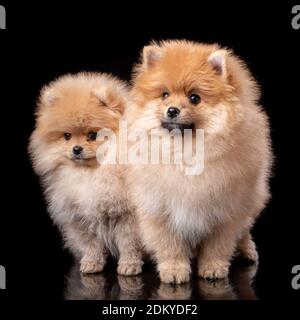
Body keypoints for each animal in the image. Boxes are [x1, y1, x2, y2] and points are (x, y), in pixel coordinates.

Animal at [28, 72, 144, 276]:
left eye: (92, 135)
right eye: (67, 136)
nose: (76, 149)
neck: (90, 174)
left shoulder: (127, 216)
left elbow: (129, 243)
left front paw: (129, 264)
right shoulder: (78, 217)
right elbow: (90, 244)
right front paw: (91, 262)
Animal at [127, 40, 274, 282]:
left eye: (194, 97)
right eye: (165, 95)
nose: (172, 110)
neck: (185, 152)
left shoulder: (225, 210)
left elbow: (218, 245)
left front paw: (213, 267)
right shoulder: (159, 209)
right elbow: (169, 245)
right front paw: (174, 269)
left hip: (252, 200)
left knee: (244, 230)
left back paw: (247, 250)